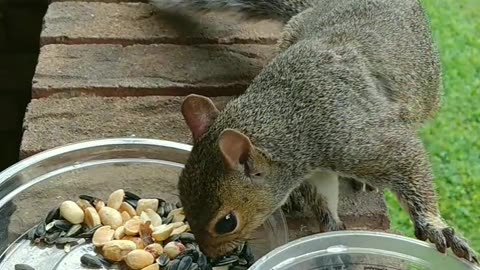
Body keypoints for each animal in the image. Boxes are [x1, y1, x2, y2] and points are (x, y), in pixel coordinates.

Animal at [150, 0, 476, 264]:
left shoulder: (361, 140)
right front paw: (331, 232)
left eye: (227, 222)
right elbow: (323, 198)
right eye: (181, 193)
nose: (210, 255)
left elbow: (409, 165)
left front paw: (435, 227)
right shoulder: (314, 172)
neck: (292, 116)